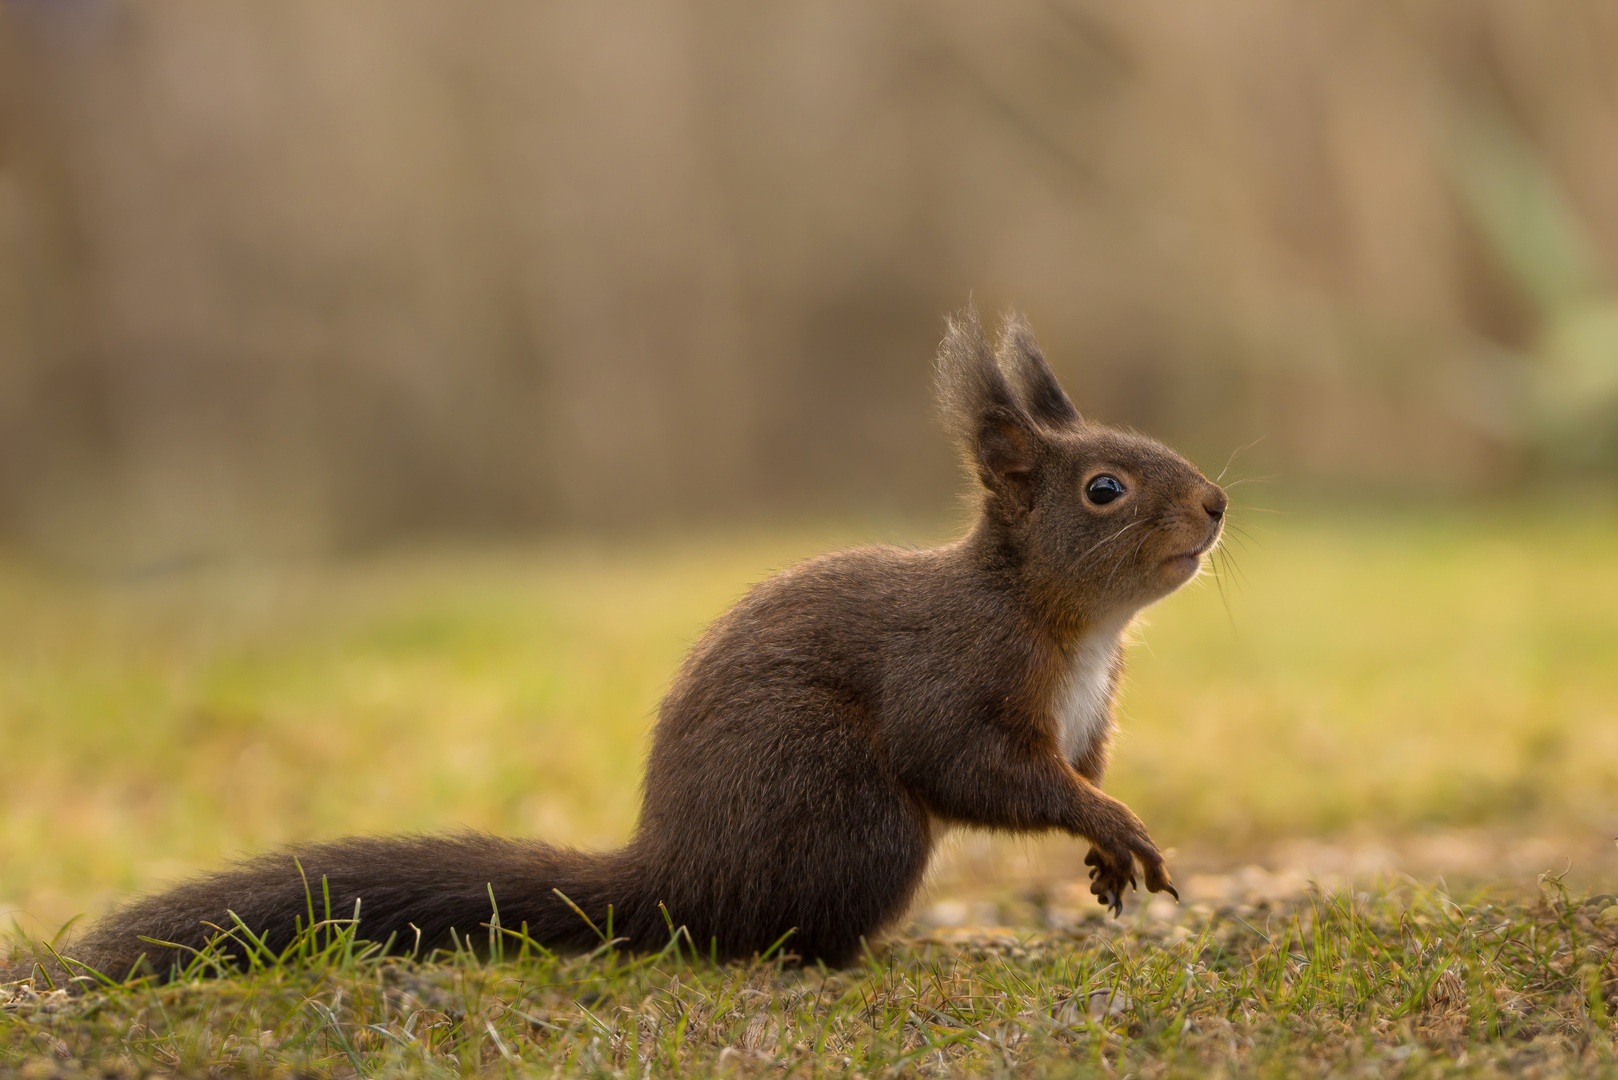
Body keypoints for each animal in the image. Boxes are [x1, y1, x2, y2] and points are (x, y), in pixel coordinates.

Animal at [15, 307, 1223, 984]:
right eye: (1104, 489)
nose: (1214, 505)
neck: (1071, 626)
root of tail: (674, 876)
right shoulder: (952, 672)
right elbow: (975, 768)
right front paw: (1112, 825)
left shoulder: (1089, 709)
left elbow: (1071, 769)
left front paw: (1104, 848)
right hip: (853, 817)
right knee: (770, 935)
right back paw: (852, 956)